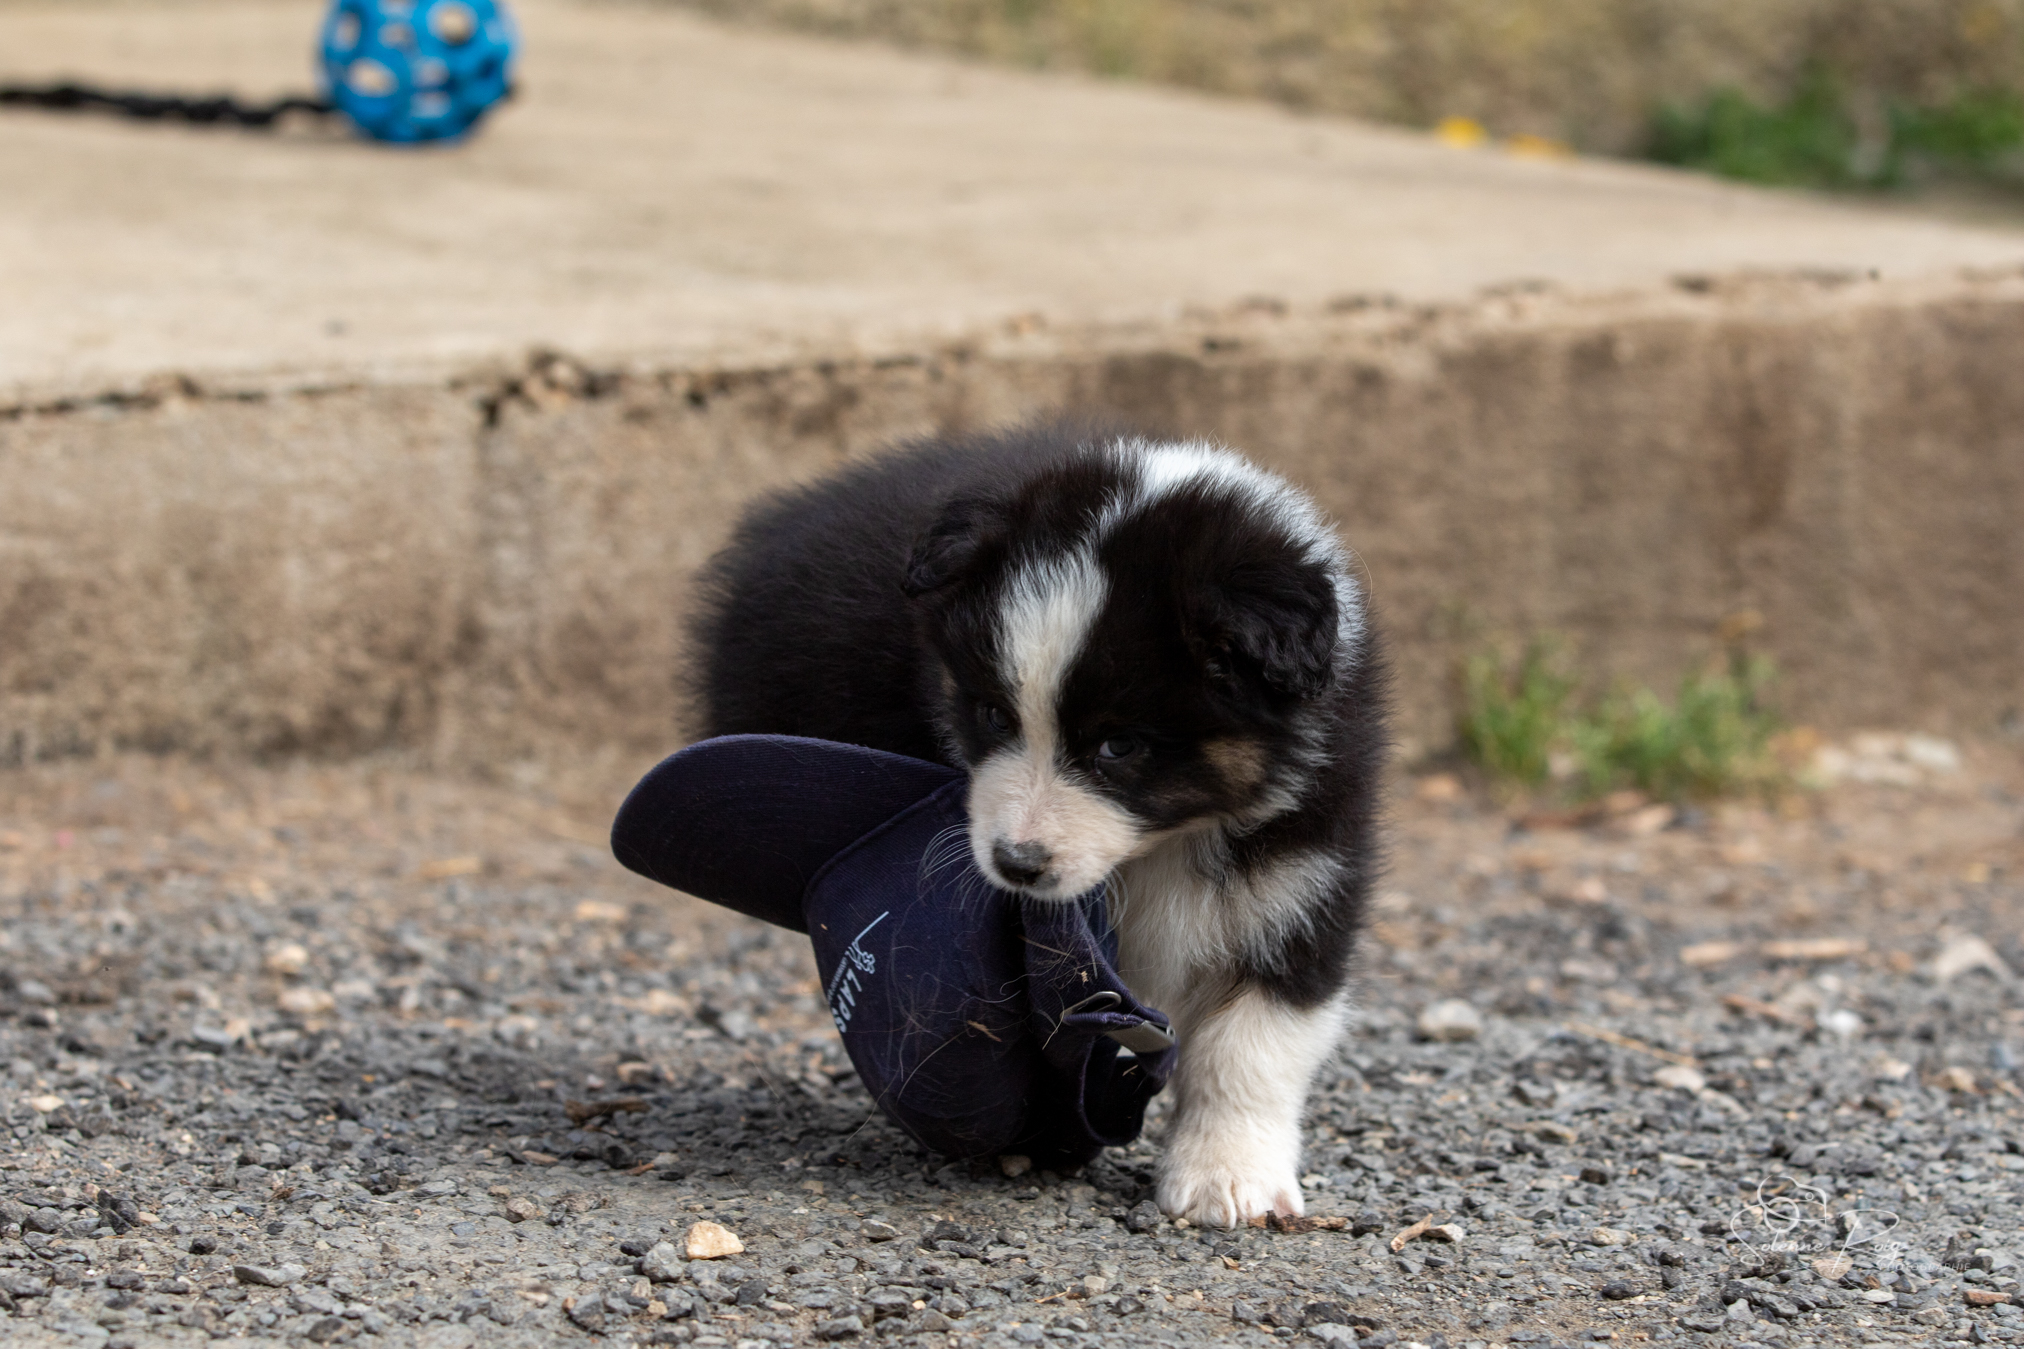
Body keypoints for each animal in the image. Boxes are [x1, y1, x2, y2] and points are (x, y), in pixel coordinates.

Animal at [688, 422, 1387, 1226]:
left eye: (1121, 745)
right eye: (994, 715)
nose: (1016, 863)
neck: (1162, 844)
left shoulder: (1305, 870)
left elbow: (1257, 1038)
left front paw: (1227, 1175)